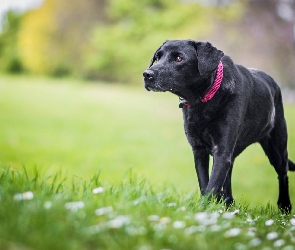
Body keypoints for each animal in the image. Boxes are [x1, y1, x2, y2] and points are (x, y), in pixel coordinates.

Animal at [144, 40, 295, 212]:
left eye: (178, 58)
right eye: (157, 57)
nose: (147, 74)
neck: (204, 99)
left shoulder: (222, 151)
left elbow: (212, 185)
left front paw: (204, 211)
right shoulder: (199, 150)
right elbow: (205, 184)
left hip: (277, 147)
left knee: (283, 173)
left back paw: (284, 206)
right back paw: (228, 203)